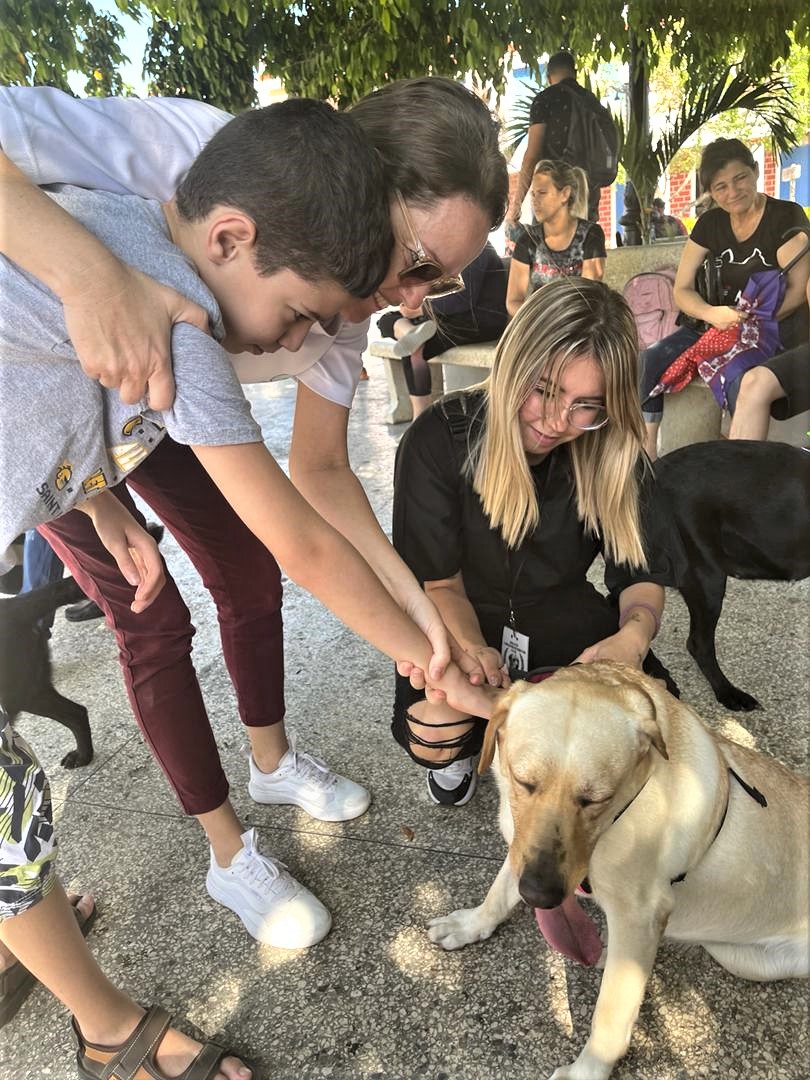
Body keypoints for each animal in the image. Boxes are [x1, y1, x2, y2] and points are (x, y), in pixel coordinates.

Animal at [427, 660, 807, 1075]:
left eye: (595, 799)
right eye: (524, 781)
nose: (541, 896)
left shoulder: (637, 912)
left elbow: (610, 1016)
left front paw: (587, 1071)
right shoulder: (524, 849)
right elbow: (498, 893)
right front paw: (471, 924)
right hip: (738, 957)